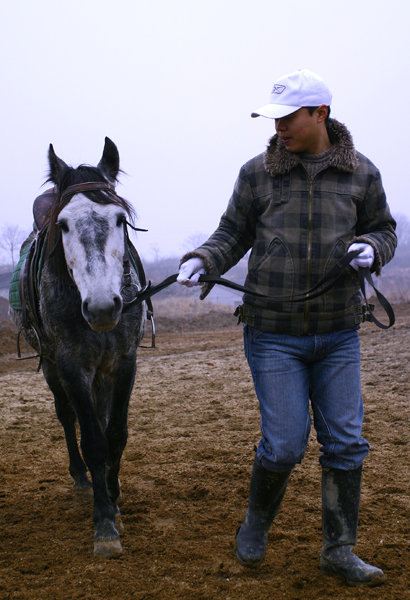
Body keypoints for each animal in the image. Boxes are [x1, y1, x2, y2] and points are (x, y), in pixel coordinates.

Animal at [9, 138, 147, 556]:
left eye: (120, 220)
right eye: (64, 224)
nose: (102, 307)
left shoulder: (123, 363)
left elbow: (115, 434)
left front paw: (115, 499)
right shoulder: (71, 367)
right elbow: (93, 441)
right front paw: (104, 524)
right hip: (53, 368)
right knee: (67, 418)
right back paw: (83, 481)